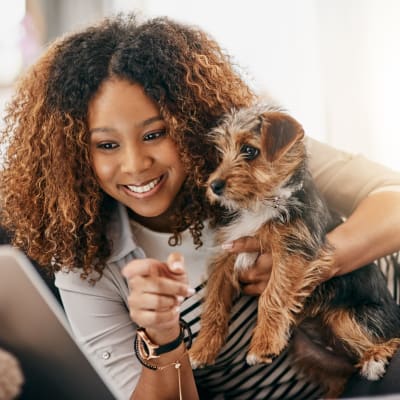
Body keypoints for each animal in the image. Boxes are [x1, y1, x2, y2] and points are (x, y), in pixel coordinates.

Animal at [189, 104, 400, 398]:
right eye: (221, 152)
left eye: (249, 150)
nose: (214, 186)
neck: (263, 202)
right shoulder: (225, 253)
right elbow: (214, 304)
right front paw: (202, 349)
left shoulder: (293, 251)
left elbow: (272, 295)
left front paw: (263, 344)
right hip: (310, 351)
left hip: (348, 317)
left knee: (391, 339)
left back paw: (375, 360)